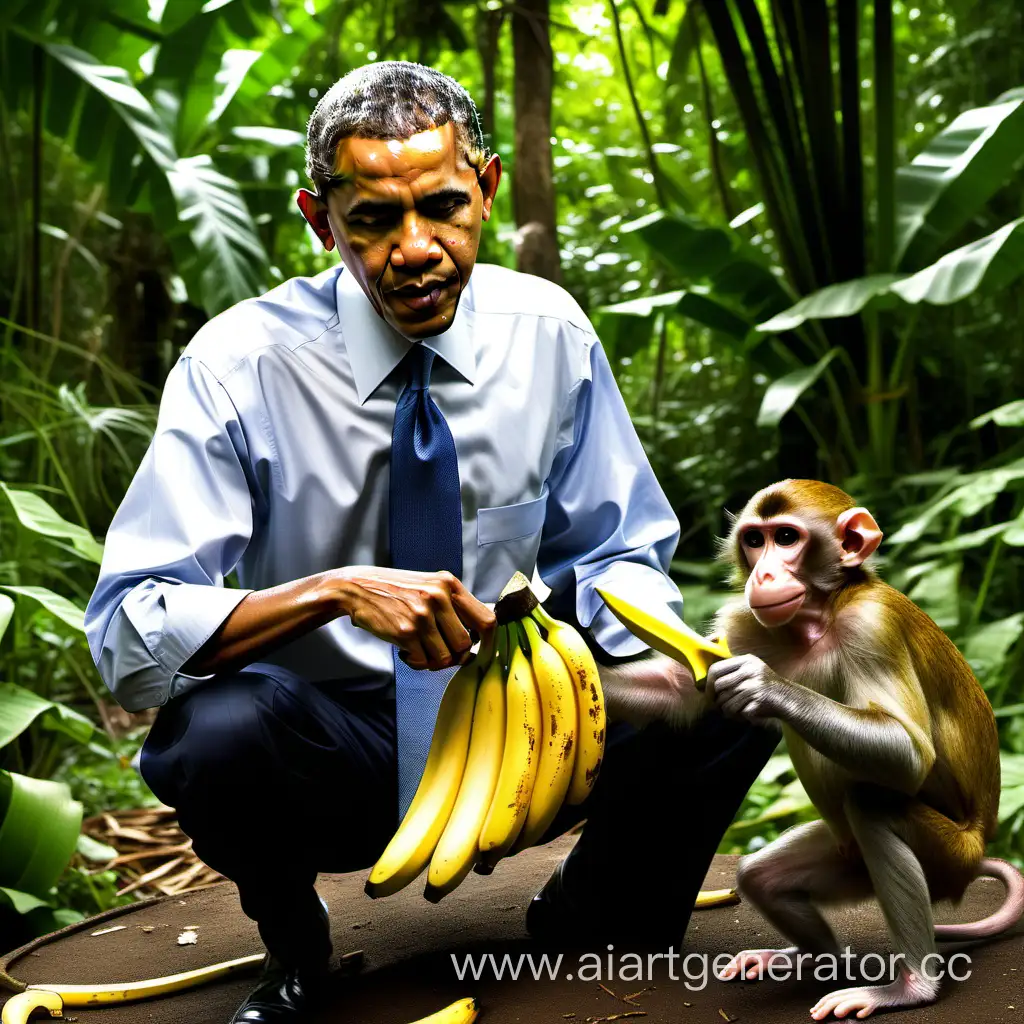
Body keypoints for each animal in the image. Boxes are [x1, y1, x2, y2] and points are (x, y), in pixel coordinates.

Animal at [704, 477, 1024, 1015]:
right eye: (754, 540)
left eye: (786, 537)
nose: (763, 573)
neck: (821, 616)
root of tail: (980, 843)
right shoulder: (744, 624)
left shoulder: (871, 626)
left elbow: (910, 754)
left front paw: (761, 686)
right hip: (848, 862)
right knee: (760, 877)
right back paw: (811, 957)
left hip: (948, 856)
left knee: (870, 805)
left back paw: (910, 987)